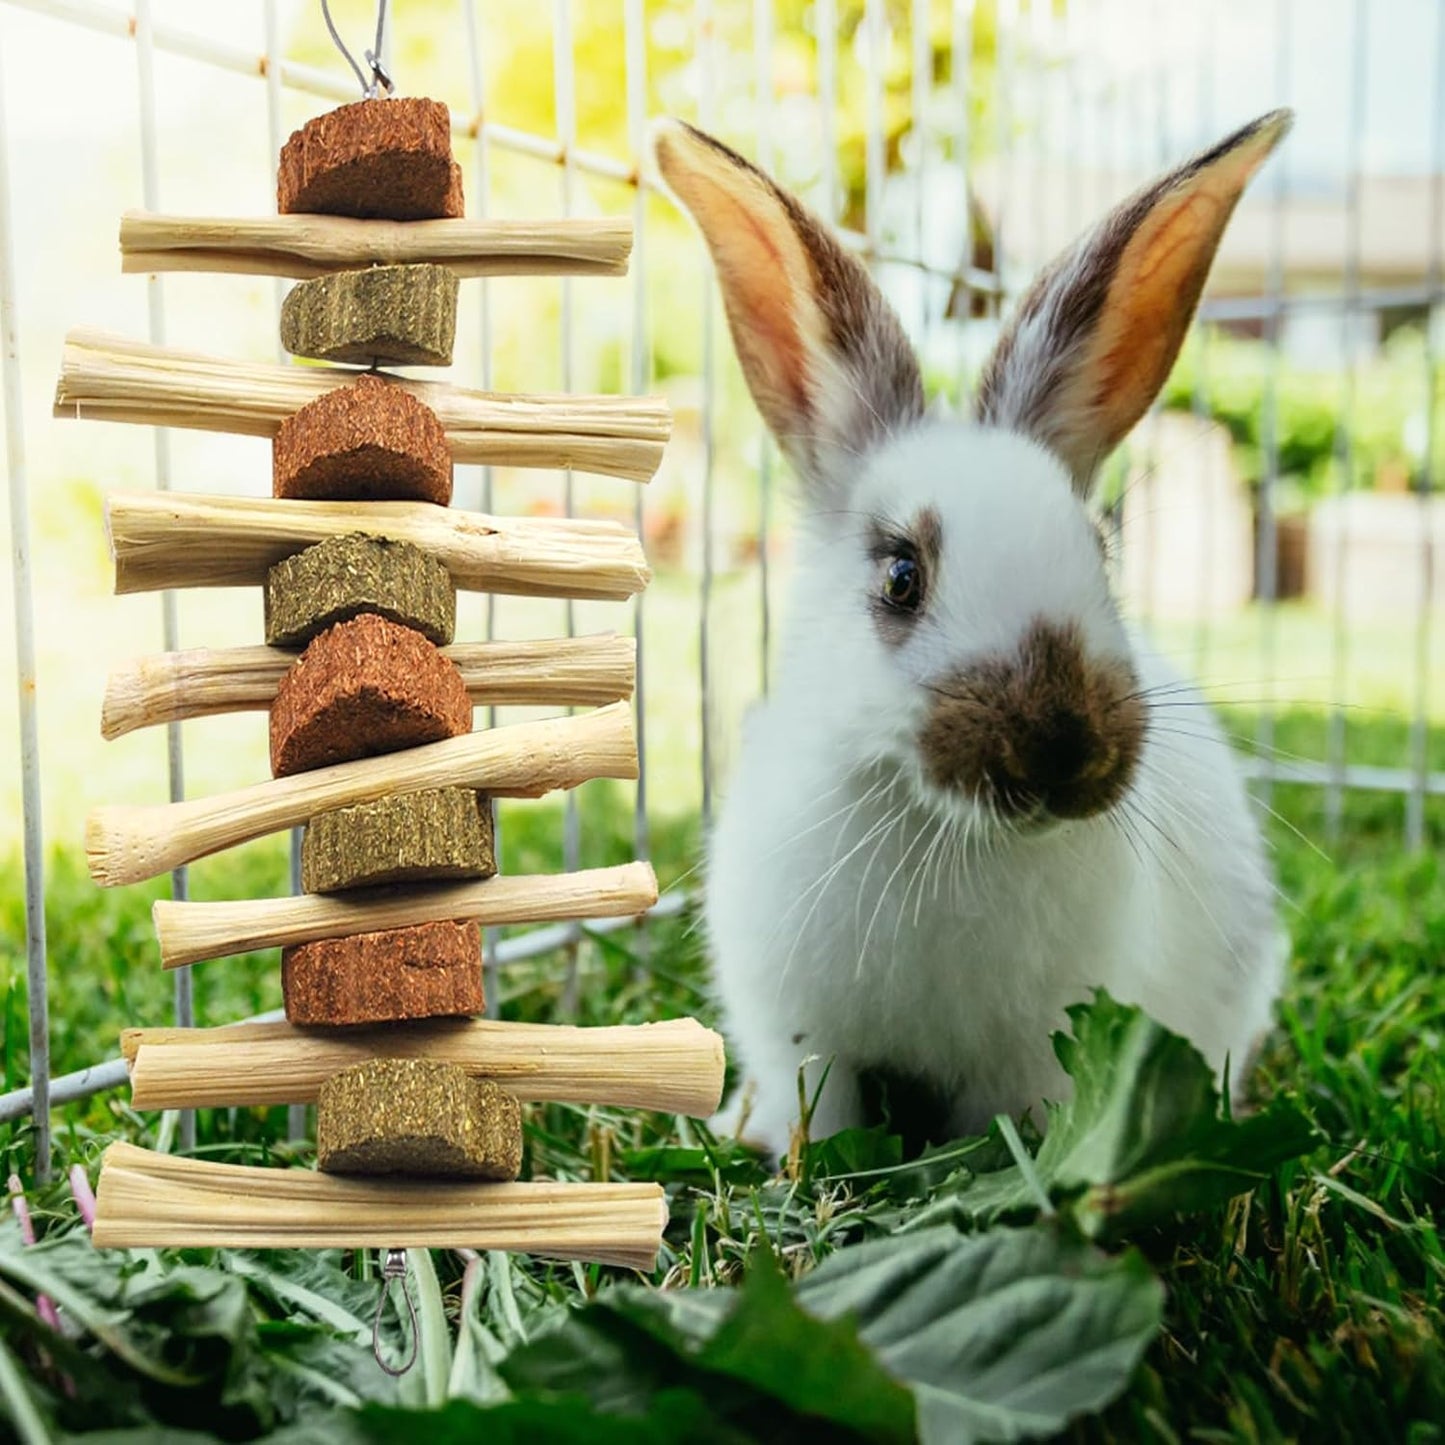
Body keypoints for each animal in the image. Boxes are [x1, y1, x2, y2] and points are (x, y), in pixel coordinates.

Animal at [649, 108, 1294, 1160]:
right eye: (900, 576)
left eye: (1102, 553)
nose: (1063, 751)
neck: (943, 834)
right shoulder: (800, 1033)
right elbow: (818, 1111)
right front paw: (793, 1153)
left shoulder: (1035, 1053)